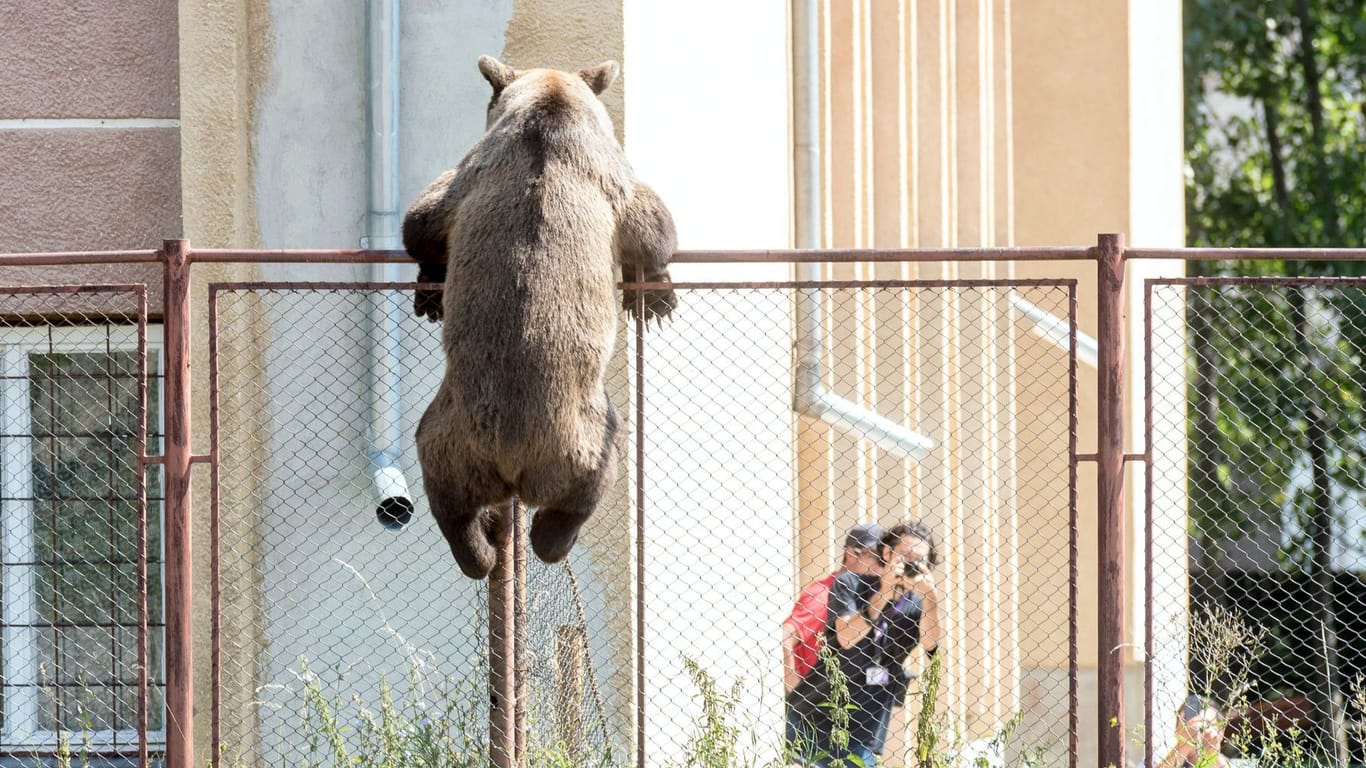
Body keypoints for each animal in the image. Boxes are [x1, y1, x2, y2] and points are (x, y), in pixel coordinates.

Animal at [398, 53, 677, 576]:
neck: (550, 104)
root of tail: (511, 462)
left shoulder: (469, 183)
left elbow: (423, 224)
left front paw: (429, 293)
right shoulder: (602, 174)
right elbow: (652, 224)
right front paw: (657, 295)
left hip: (449, 432)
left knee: (446, 495)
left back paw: (480, 547)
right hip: (578, 435)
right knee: (593, 477)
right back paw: (549, 536)